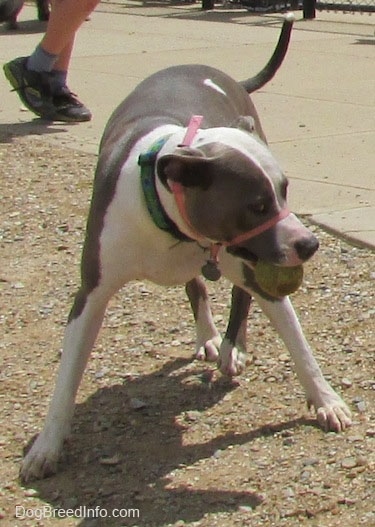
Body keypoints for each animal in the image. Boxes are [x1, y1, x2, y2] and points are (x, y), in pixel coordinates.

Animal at [21, 13, 352, 482]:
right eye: (257, 204)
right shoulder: (90, 294)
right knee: (197, 286)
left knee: (238, 294)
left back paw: (231, 347)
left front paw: (326, 401)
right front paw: (46, 447)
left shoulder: (257, 269)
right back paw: (211, 336)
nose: (308, 243)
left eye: (285, 190)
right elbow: (66, 377)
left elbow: (300, 347)